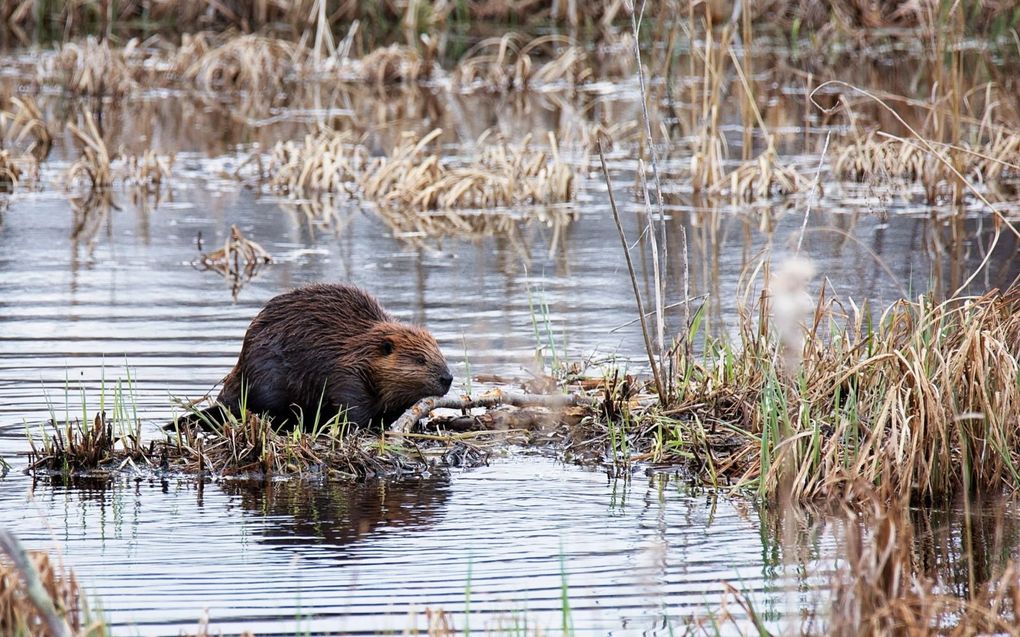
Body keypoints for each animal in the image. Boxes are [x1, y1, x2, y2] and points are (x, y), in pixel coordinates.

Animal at [211, 285, 450, 430]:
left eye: (439, 355)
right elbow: (351, 407)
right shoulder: (347, 375)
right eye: (420, 359)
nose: (447, 378)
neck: (362, 350)